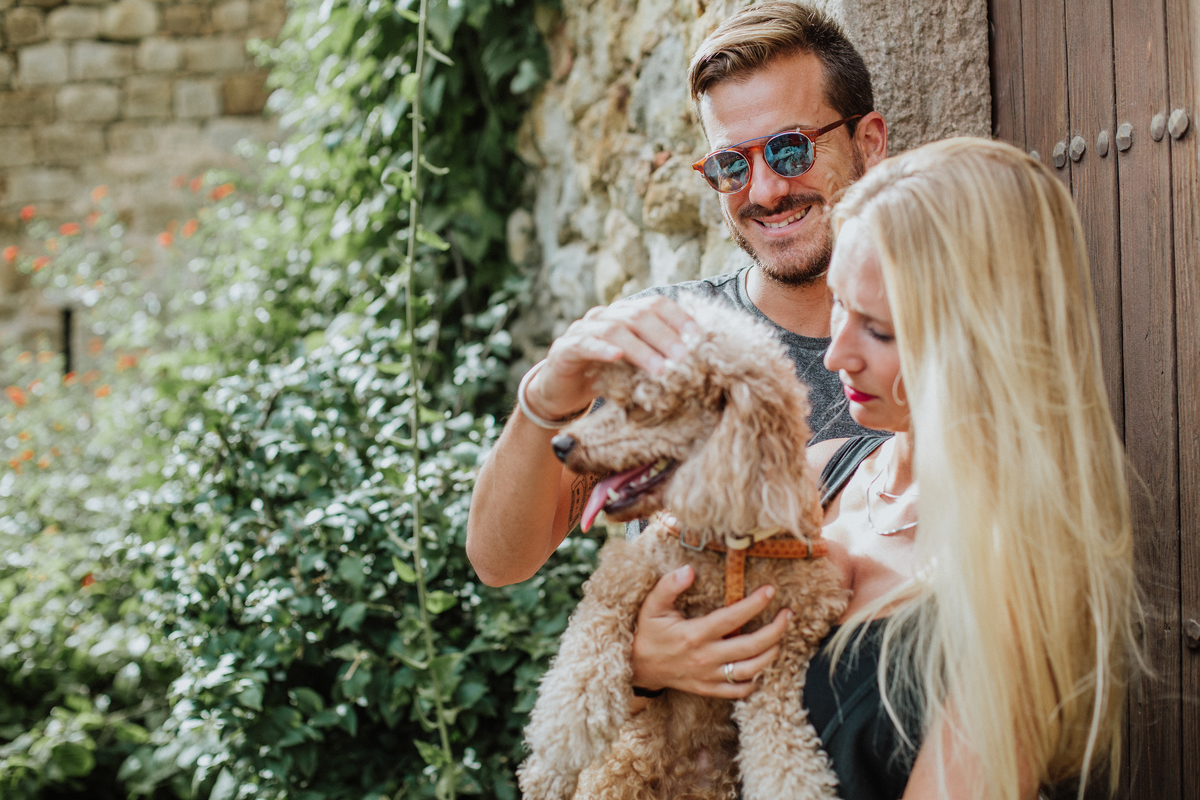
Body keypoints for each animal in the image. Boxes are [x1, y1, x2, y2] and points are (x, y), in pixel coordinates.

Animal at [516, 294, 849, 800]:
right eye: (609, 397)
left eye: (639, 406)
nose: (560, 443)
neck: (731, 548)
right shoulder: (625, 572)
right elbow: (586, 657)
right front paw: (562, 739)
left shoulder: (787, 643)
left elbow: (780, 740)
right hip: (617, 771)